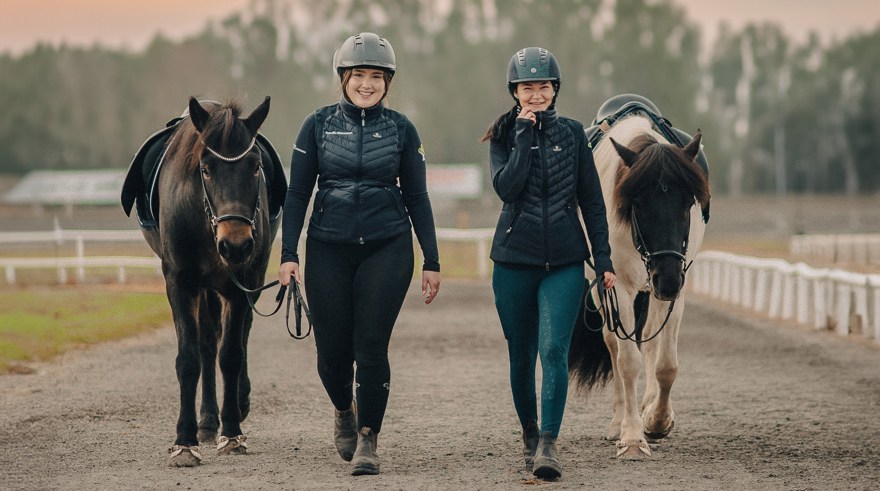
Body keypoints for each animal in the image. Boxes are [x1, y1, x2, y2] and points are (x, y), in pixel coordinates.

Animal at [124, 97, 278, 468]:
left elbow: (232, 354)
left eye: (255, 166)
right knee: (207, 344)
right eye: (206, 169)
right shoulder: (180, 283)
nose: (236, 245)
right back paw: (208, 420)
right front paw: (185, 440)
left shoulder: (242, 284)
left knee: (237, 338)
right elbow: (190, 358)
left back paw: (235, 404)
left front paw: (232, 432)